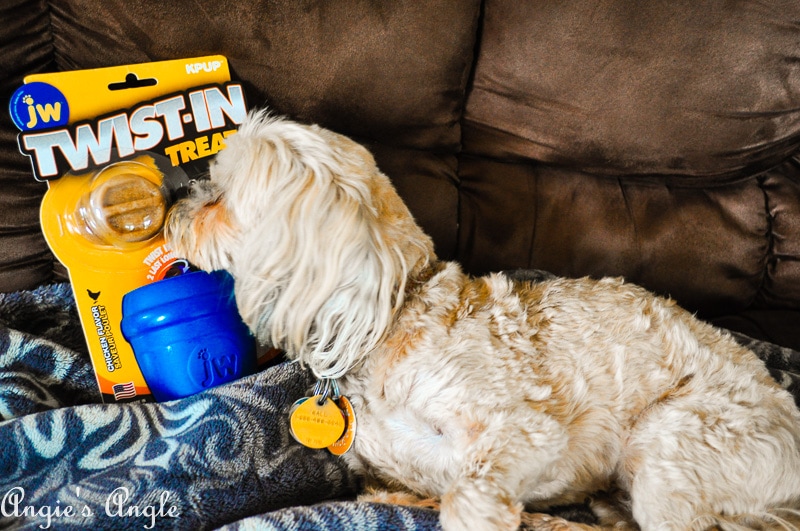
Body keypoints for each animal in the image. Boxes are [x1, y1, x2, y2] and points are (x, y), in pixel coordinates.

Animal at [164, 110, 800, 528]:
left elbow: (467, 497)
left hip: (673, 440)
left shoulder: (521, 430)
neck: (395, 313)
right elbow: (395, 491)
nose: (174, 201)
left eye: (220, 197)